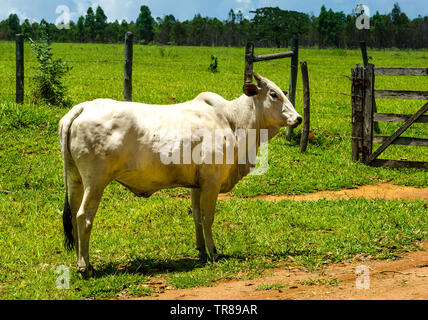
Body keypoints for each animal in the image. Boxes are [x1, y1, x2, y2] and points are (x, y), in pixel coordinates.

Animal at [59, 72, 300, 278]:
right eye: (273, 94)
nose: (298, 118)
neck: (232, 121)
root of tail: (83, 107)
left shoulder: (196, 185)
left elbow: (197, 216)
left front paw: (201, 250)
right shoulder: (212, 182)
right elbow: (207, 217)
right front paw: (214, 252)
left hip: (75, 180)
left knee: (73, 217)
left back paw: (82, 262)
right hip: (96, 182)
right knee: (84, 217)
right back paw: (85, 267)